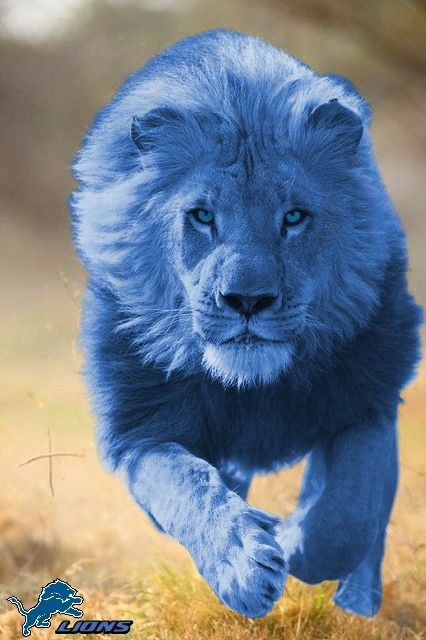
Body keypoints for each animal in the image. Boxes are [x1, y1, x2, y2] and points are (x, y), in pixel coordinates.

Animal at [70, 30, 422, 618]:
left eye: (295, 217)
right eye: (202, 216)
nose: (247, 300)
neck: (254, 387)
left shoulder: (367, 398)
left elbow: (350, 513)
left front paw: (296, 546)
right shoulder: (142, 431)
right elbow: (187, 485)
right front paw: (240, 561)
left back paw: (359, 599)